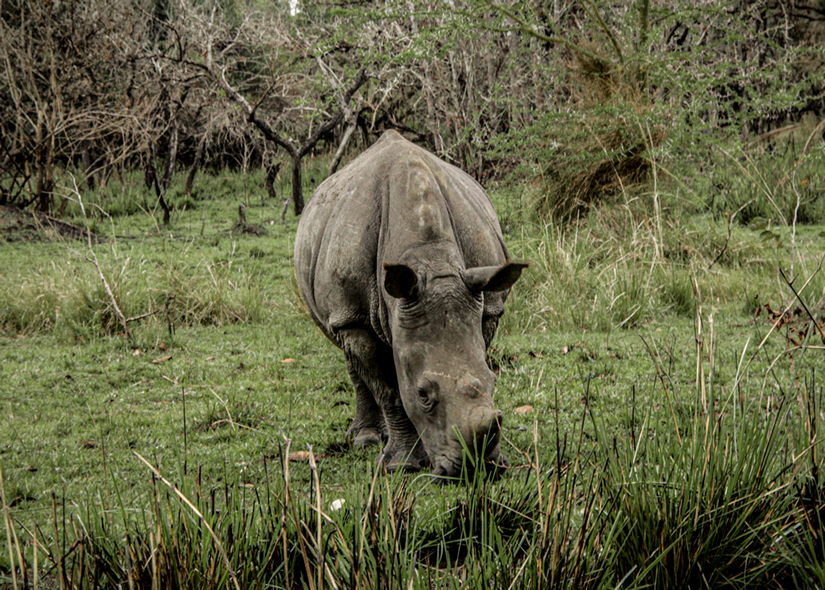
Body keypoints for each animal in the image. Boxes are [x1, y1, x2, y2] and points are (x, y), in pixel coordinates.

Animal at [294, 130, 526, 480]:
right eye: (423, 394)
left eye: (493, 381)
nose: (475, 469)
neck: (429, 257)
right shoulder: (353, 316)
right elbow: (389, 390)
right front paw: (400, 465)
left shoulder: (486, 305)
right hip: (341, 309)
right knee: (351, 356)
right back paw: (366, 439)